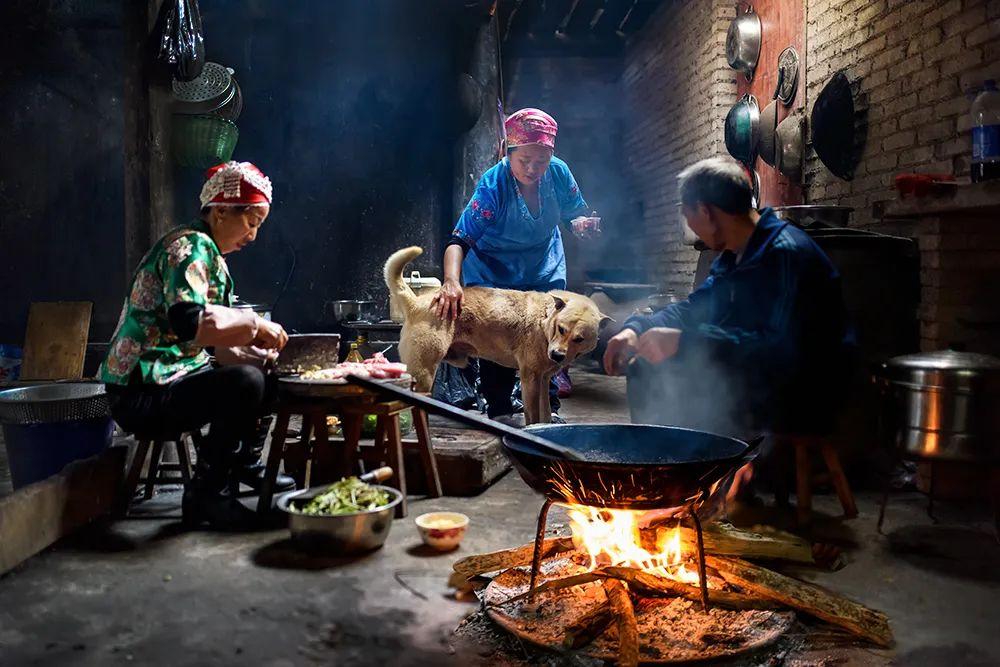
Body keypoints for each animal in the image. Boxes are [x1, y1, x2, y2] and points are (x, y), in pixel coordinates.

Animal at [386, 248, 612, 426]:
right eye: (562, 329)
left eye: (579, 339)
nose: (557, 355)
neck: (546, 320)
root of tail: (416, 302)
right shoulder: (530, 377)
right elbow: (533, 415)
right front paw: (533, 429)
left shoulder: (543, 379)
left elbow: (545, 412)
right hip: (424, 371)